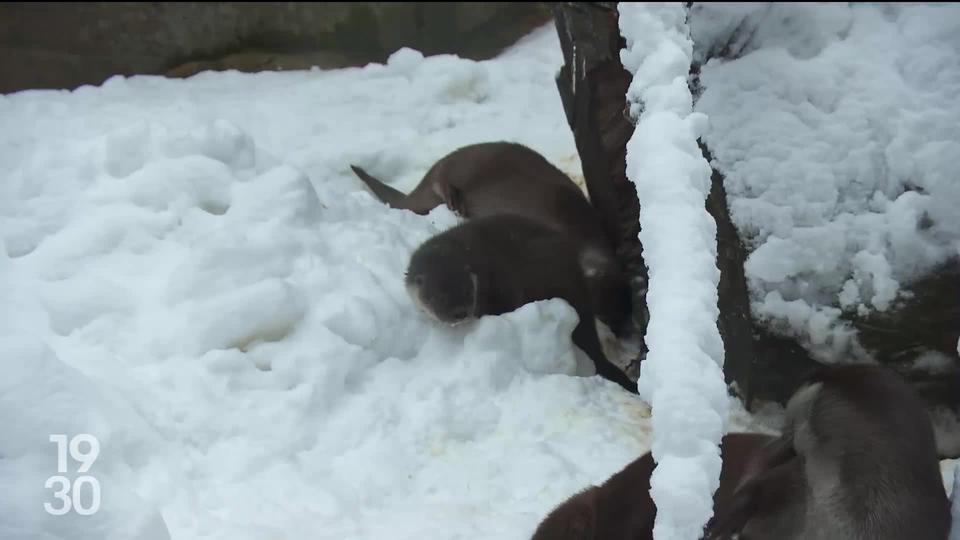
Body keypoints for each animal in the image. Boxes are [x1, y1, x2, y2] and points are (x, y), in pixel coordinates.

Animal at [350, 141, 632, 340]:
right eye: (601, 313)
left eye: (619, 315)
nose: (617, 331)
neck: (577, 230)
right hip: (462, 167)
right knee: (443, 183)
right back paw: (454, 200)